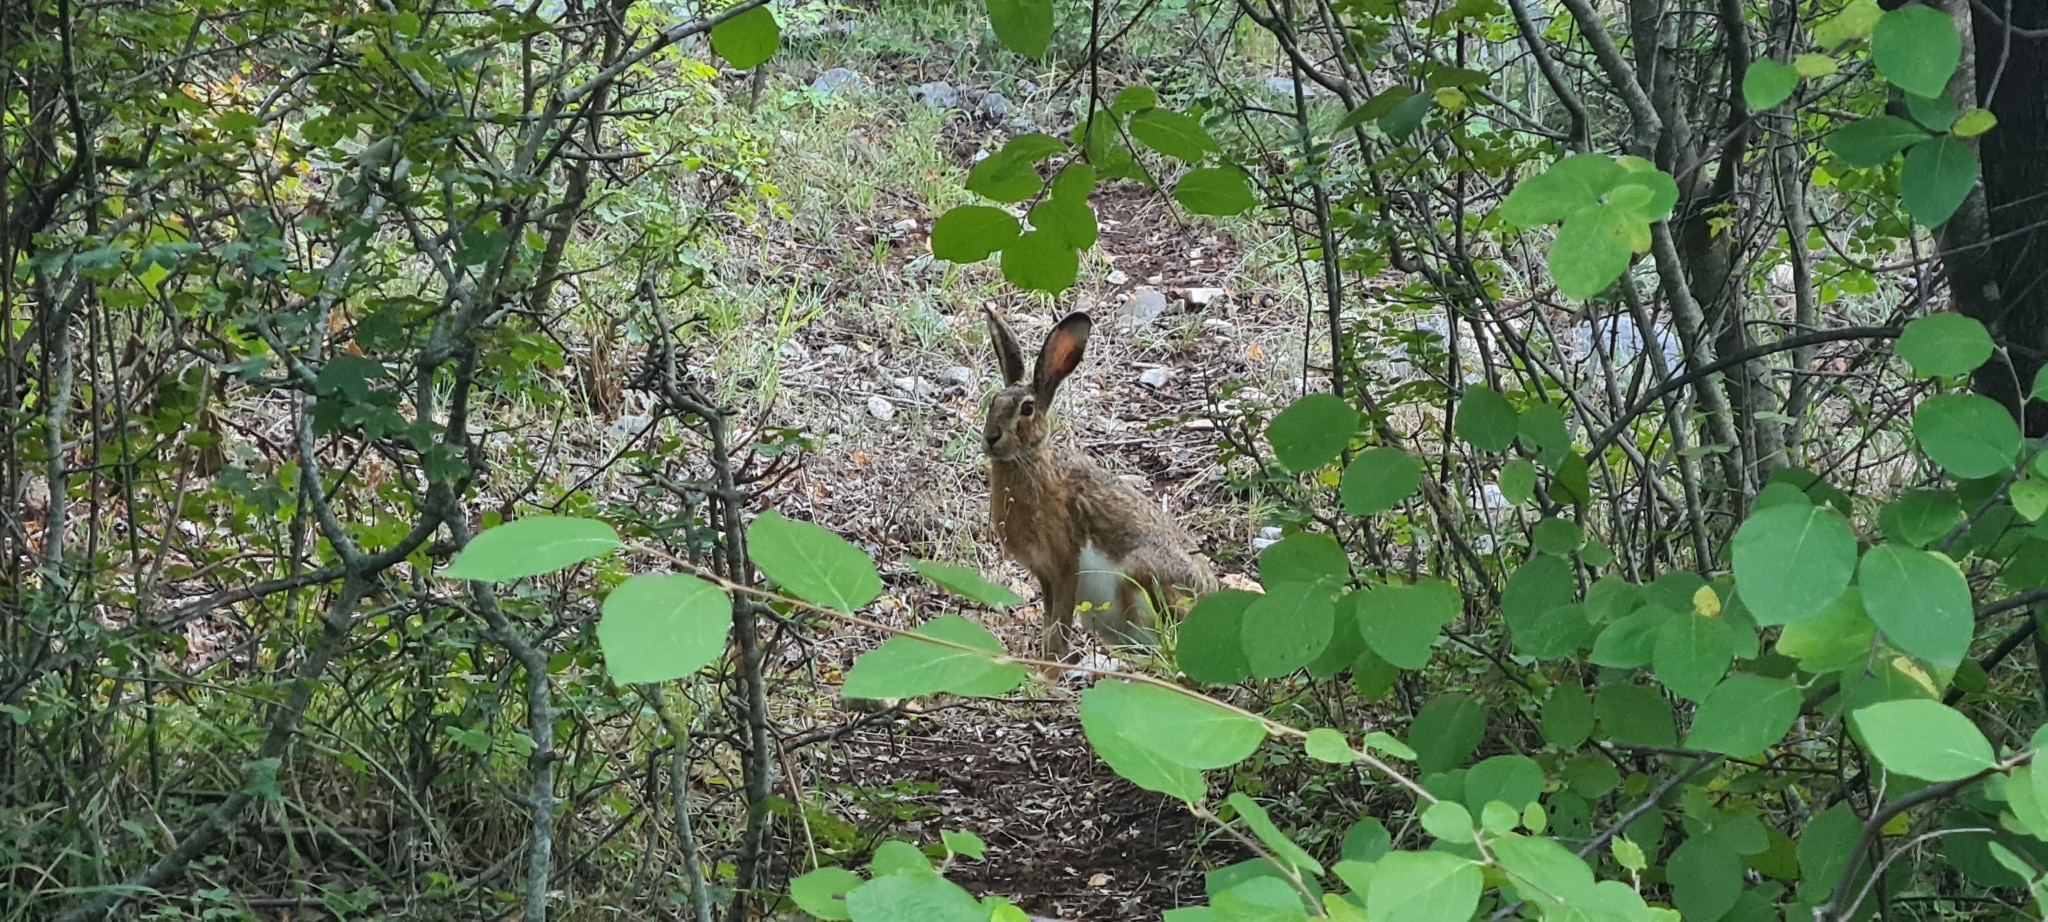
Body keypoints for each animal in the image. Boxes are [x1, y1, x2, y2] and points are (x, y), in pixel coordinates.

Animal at [980, 307, 1219, 661]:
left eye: (1027, 408)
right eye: (994, 401)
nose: (991, 438)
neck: (1030, 461)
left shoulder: (1065, 565)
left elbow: (1059, 627)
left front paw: (1050, 665)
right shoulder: (1044, 575)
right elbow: (1050, 621)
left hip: (1141, 580)